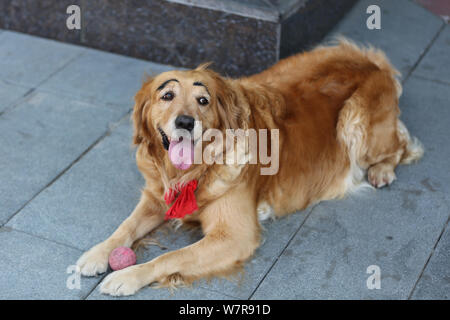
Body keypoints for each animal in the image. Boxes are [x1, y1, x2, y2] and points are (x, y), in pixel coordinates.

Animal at [75, 38, 424, 296]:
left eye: (203, 101)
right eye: (167, 95)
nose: (185, 122)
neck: (196, 171)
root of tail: (372, 60)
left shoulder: (234, 236)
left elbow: (171, 256)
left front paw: (128, 276)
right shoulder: (155, 197)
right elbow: (125, 227)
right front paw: (97, 253)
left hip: (355, 124)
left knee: (402, 145)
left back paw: (382, 171)